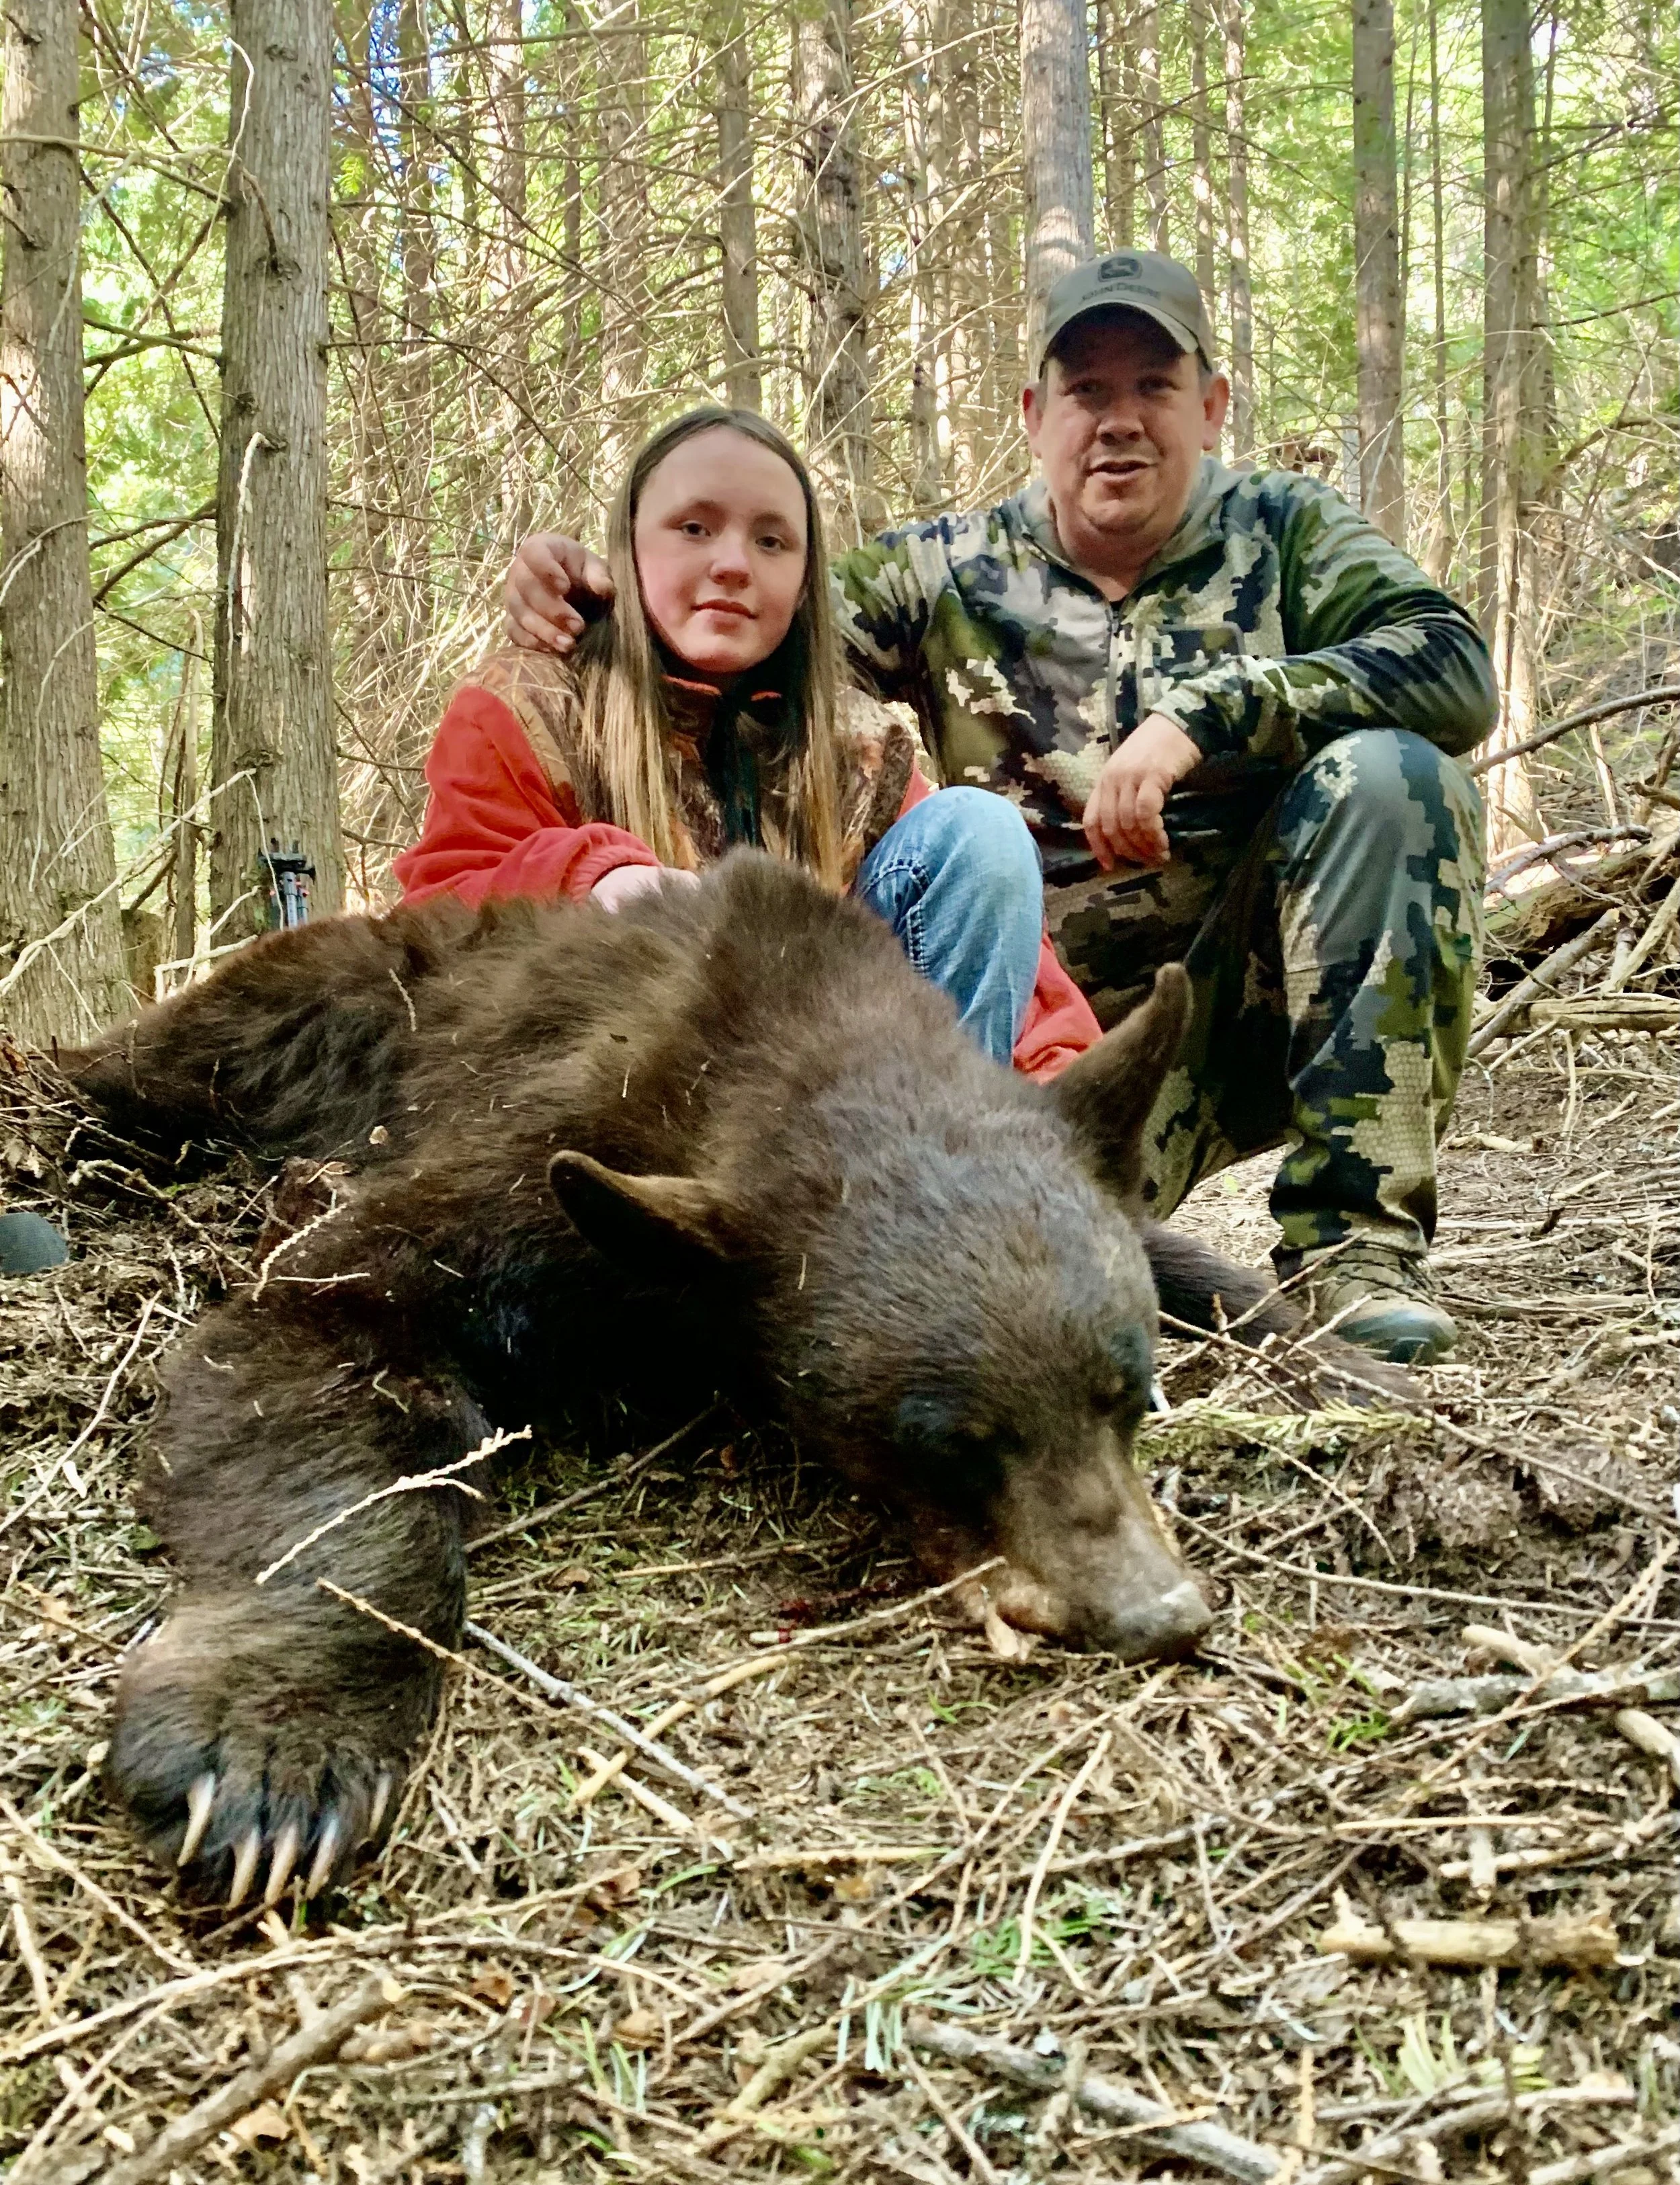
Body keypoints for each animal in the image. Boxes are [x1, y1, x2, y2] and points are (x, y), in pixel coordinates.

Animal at [67, 850, 1402, 1908]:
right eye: (950, 1440)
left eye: (1133, 1396)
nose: (1155, 1612)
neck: (778, 1025)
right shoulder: (539, 1160)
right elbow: (319, 1324)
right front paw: (274, 1755)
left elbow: (1196, 1264)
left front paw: (1348, 1355)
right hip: (302, 1013)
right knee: (170, 1061)